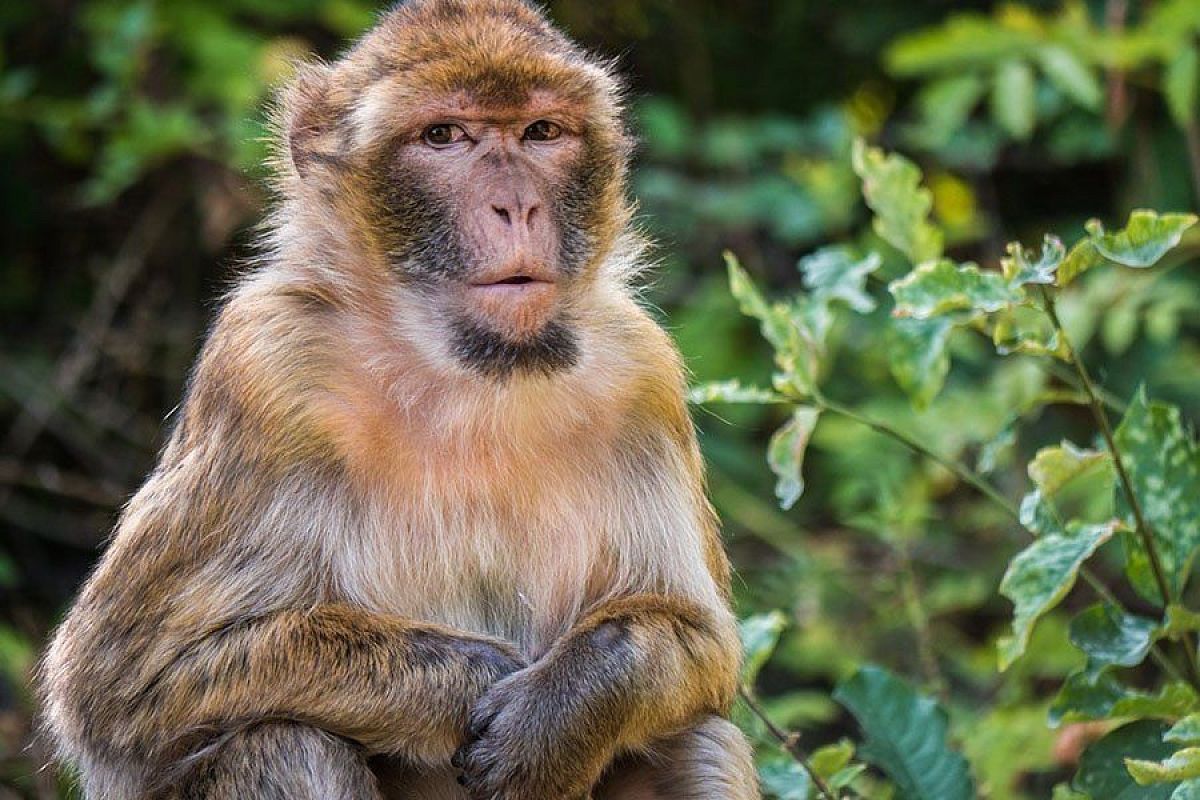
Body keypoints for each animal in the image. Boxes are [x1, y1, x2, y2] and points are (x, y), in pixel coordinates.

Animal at [44, 1, 758, 800]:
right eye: (443, 136)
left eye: (541, 132)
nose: (518, 205)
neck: (468, 370)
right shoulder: (266, 366)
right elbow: (121, 691)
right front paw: (469, 678)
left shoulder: (642, 374)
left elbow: (701, 643)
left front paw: (559, 712)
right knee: (283, 743)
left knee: (701, 738)